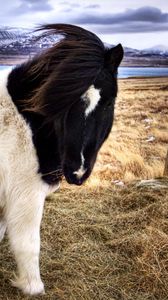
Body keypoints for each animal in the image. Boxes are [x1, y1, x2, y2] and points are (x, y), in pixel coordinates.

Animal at [0, 24, 123, 296]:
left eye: (109, 102)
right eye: (64, 102)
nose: (77, 171)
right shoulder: (26, 193)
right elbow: (28, 244)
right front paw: (32, 287)